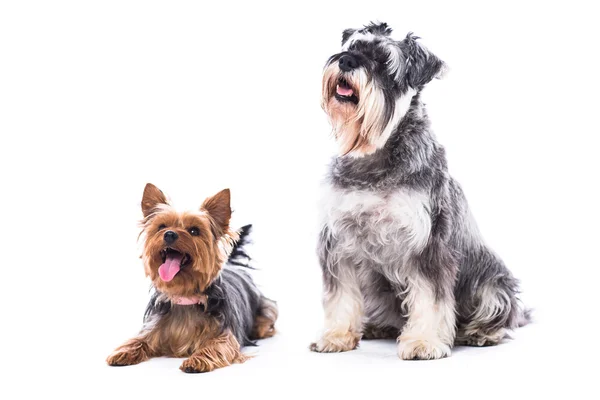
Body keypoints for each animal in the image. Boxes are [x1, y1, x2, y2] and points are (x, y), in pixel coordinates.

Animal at [107, 184, 276, 372]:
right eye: (161, 226)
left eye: (194, 230)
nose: (169, 234)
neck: (184, 296)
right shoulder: (152, 327)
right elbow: (138, 339)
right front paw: (123, 352)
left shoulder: (225, 334)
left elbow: (219, 345)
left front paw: (196, 360)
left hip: (263, 308)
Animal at [310, 21, 528, 360]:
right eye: (353, 47)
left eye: (385, 62)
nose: (345, 61)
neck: (374, 153)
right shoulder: (339, 242)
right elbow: (340, 295)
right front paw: (336, 335)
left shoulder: (427, 246)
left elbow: (430, 298)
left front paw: (424, 341)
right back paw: (377, 327)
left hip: (492, 284)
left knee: (499, 315)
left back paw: (480, 333)